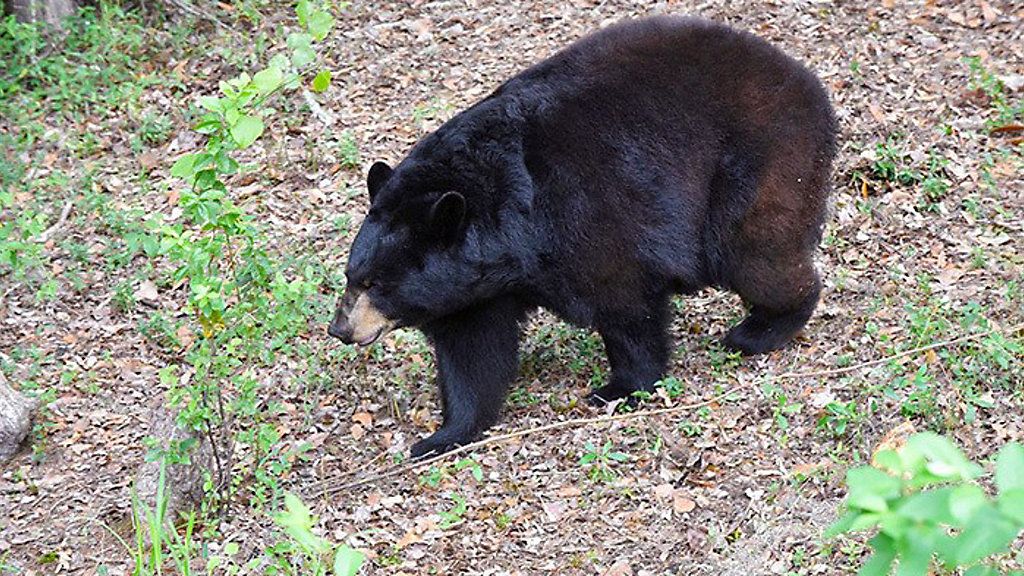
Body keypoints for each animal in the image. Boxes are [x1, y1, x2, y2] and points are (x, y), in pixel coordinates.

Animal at [328, 16, 837, 458]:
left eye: (374, 283)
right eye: (351, 275)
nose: (340, 329)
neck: (510, 221)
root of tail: (806, 80)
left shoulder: (586, 214)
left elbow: (625, 304)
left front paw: (620, 388)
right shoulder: (475, 286)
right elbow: (472, 352)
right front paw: (442, 435)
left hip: (761, 162)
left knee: (755, 255)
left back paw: (759, 331)